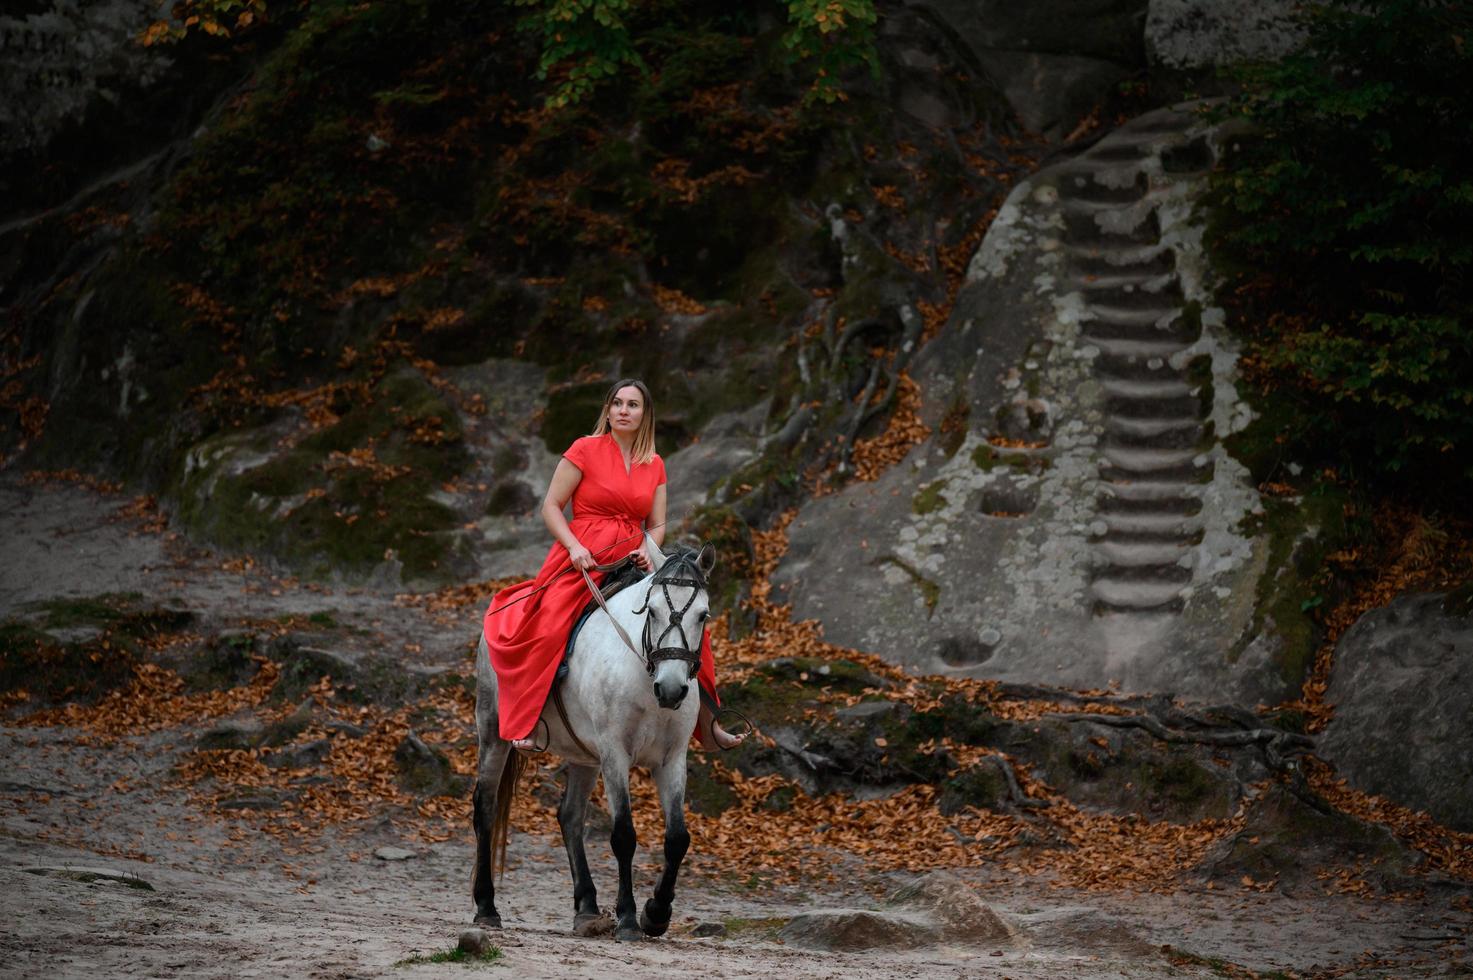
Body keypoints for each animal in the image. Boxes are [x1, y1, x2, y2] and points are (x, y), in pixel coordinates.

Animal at [471, 536, 712, 943]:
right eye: (652, 611)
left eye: (703, 616)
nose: (671, 689)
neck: (643, 672)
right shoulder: (615, 753)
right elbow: (624, 835)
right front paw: (629, 918)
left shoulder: (672, 758)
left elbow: (678, 838)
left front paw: (656, 914)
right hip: (492, 732)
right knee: (485, 806)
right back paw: (486, 907)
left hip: (584, 756)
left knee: (569, 816)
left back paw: (586, 908)